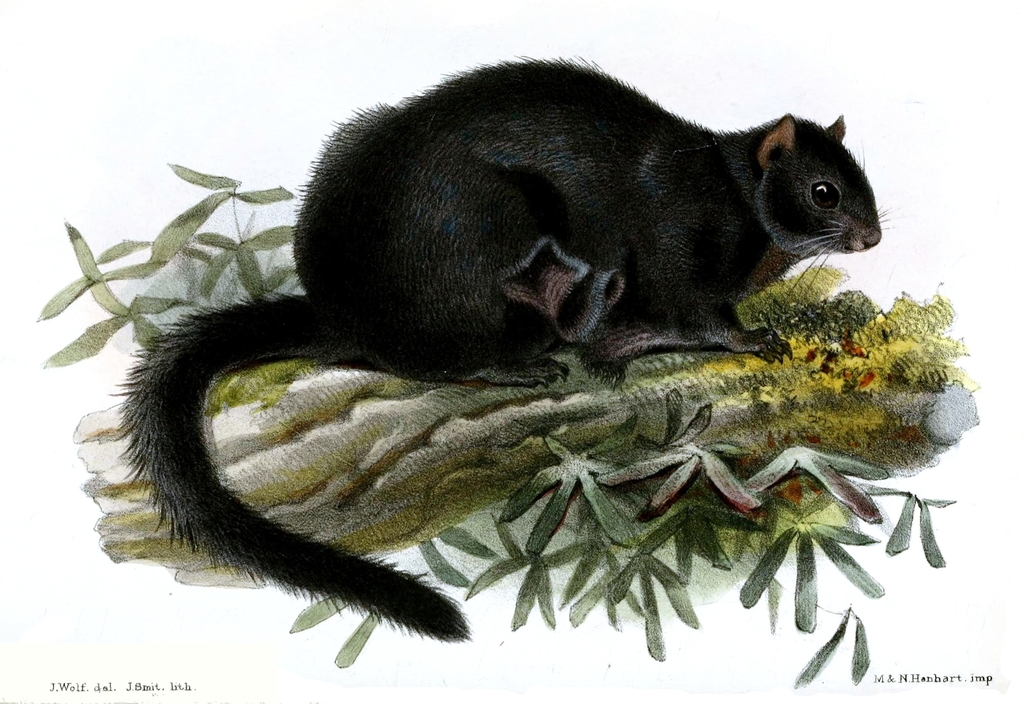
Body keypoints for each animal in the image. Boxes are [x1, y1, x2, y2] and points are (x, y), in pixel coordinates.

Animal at [122, 60, 881, 643]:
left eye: (862, 180)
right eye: (824, 191)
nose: (872, 236)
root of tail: (347, 318)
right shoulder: (676, 254)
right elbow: (699, 311)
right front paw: (747, 336)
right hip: (488, 233)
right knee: (443, 360)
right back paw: (529, 358)